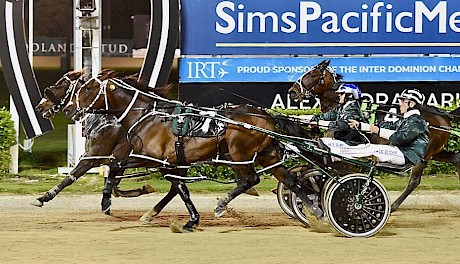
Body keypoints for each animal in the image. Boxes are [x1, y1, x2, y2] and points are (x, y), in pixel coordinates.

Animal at [63, 69, 324, 231]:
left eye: (87, 90)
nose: (69, 109)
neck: (150, 116)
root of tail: (266, 115)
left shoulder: (155, 159)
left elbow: (117, 166)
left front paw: (107, 201)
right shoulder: (169, 162)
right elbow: (178, 189)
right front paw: (179, 218)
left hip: (239, 154)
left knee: (250, 180)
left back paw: (222, 204)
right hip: (268, 156)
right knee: (291, 181)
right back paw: (316, 213)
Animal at [288, 59, 460, 212]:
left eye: (313, 74)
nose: (292, 92)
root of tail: (443, 115)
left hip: (422, 156)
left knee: (414, 181)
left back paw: (393, 206)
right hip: (434, 152)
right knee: (456, 158)